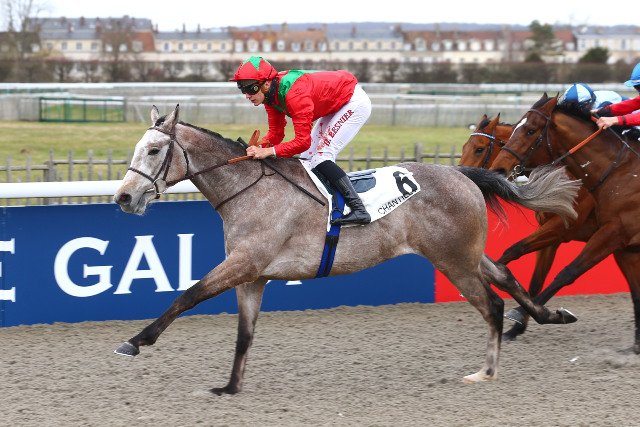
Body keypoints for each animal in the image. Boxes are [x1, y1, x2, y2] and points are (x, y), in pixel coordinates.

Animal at [112, 104, 580, 393]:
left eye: (154, 149)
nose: (124, 198)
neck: (248, 191)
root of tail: (463, 174)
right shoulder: (254, 275)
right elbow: (244, 334)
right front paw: (230, 387)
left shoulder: (244, 262)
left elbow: (189, 295)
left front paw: (136, 341)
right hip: (465, 253)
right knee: (504, 274)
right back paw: (551, 315)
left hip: (453, 260)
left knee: (492, 304)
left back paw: (486, 370)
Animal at [460, 113, 599, 340]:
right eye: (464, 147)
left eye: (479, 149)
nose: (461, 176)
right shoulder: (552, 236)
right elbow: (536, 280)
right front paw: (517, 327)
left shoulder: (561, 227)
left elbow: (514, 250)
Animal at [489, 93, 640, 353]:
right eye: (515, 128)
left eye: (530, 130)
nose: (498, 169)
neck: (621, 173)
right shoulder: (625, 247)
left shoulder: (611, 232)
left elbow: (567, 273)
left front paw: (522, 313)